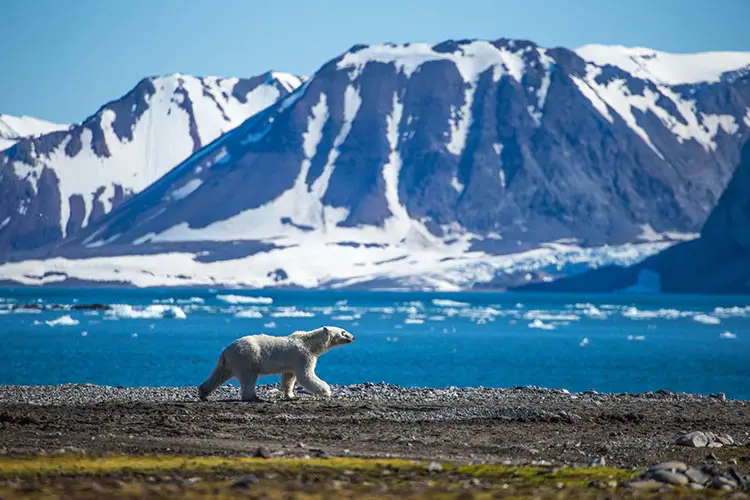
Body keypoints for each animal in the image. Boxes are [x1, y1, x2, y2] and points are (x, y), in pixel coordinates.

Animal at [197, 324, 356, 402]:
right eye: (343, 332)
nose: (353, 337)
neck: (309, 343)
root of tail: (226, 350)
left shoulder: (292, 363)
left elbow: (289, 378)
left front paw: (291, 395)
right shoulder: (302, 356)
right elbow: (306, 375)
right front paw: (326, 391)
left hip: (229, 362)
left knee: (219, 375)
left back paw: (203, 393)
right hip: (247, 358)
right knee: (249, 378)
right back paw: (253, 397)